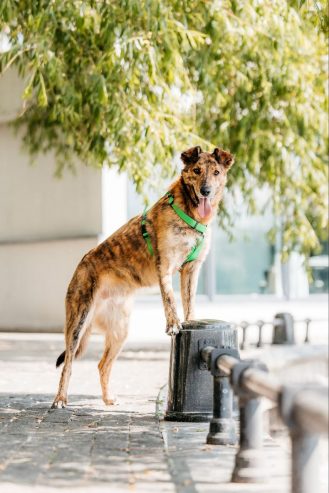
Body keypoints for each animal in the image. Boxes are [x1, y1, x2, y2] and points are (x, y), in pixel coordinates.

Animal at [52, 146, 233, 408]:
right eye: (197, 170)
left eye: (216, 172)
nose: (206, 191)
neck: (190, 213)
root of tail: (82, 262)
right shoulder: (165, 267)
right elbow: (170, 300)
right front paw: (173, 324)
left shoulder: (191, 270)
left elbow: (189, 303)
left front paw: (190, 321)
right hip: (78, 321)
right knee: (68, 364)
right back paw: (60, 398)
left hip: (120, 331)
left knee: (102, 365)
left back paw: (108, 398)